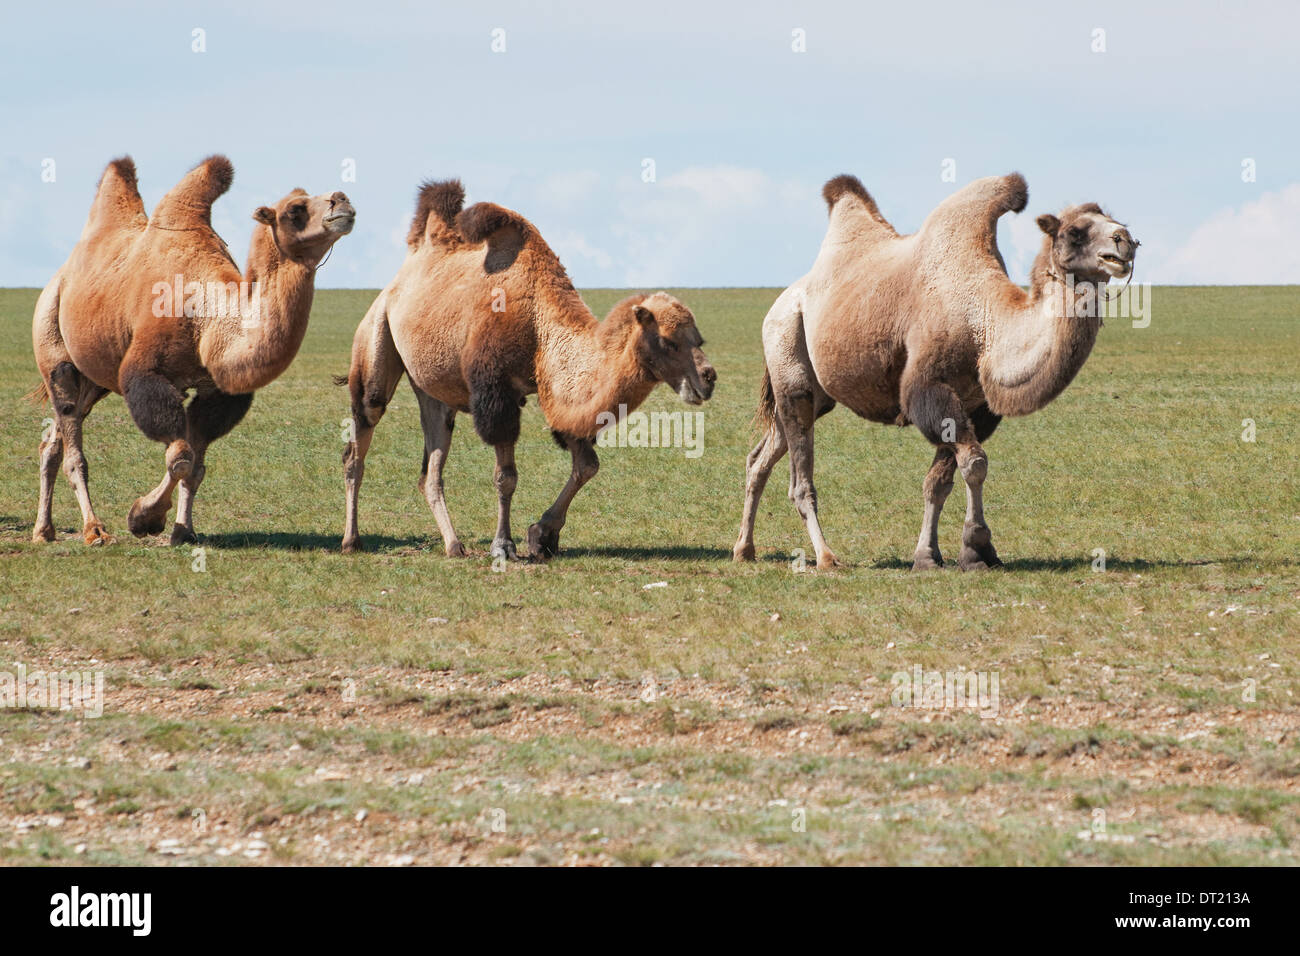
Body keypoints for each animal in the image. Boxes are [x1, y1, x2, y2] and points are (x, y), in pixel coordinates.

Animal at [30, 156, 356, 546]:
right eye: (295, 210)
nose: (342, 200)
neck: (206, 316)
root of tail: (58, 279)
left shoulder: (215, 390)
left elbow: (196, 466)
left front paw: (182, 529)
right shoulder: (145, 373)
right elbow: (181, 457)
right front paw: (143, 518)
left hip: (95, 379)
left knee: (55, 440)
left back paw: (43, 530)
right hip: (54, 347)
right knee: (71, 438)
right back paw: (94, 530)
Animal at [340, 178, 717, 561]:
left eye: (698, 338)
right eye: (669, 341)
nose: (708, 378)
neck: (539, 323)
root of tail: (401, 274)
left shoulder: (559, 393)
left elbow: (586, 464)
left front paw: (542, 534)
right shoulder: (497, 392)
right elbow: (506, 476)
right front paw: (504, 545)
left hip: (434, 388)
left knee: (430, 467)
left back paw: (453, 545)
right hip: (376, 332)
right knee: (360, 437)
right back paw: (352, 540)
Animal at [733, 174, 1138, 567]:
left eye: (1115, 221)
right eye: (1075, 232)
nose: (1125, 241)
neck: (984, 325)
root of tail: (783, 300)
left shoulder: (976, 406)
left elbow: (939, 482)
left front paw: (931, 555)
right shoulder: (930, 389)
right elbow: (974, 462)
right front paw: (976, 548)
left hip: (816, 394)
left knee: (761, 457)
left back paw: (744, 549)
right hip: (788, 353)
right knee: (800, 478)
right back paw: (825, 556)